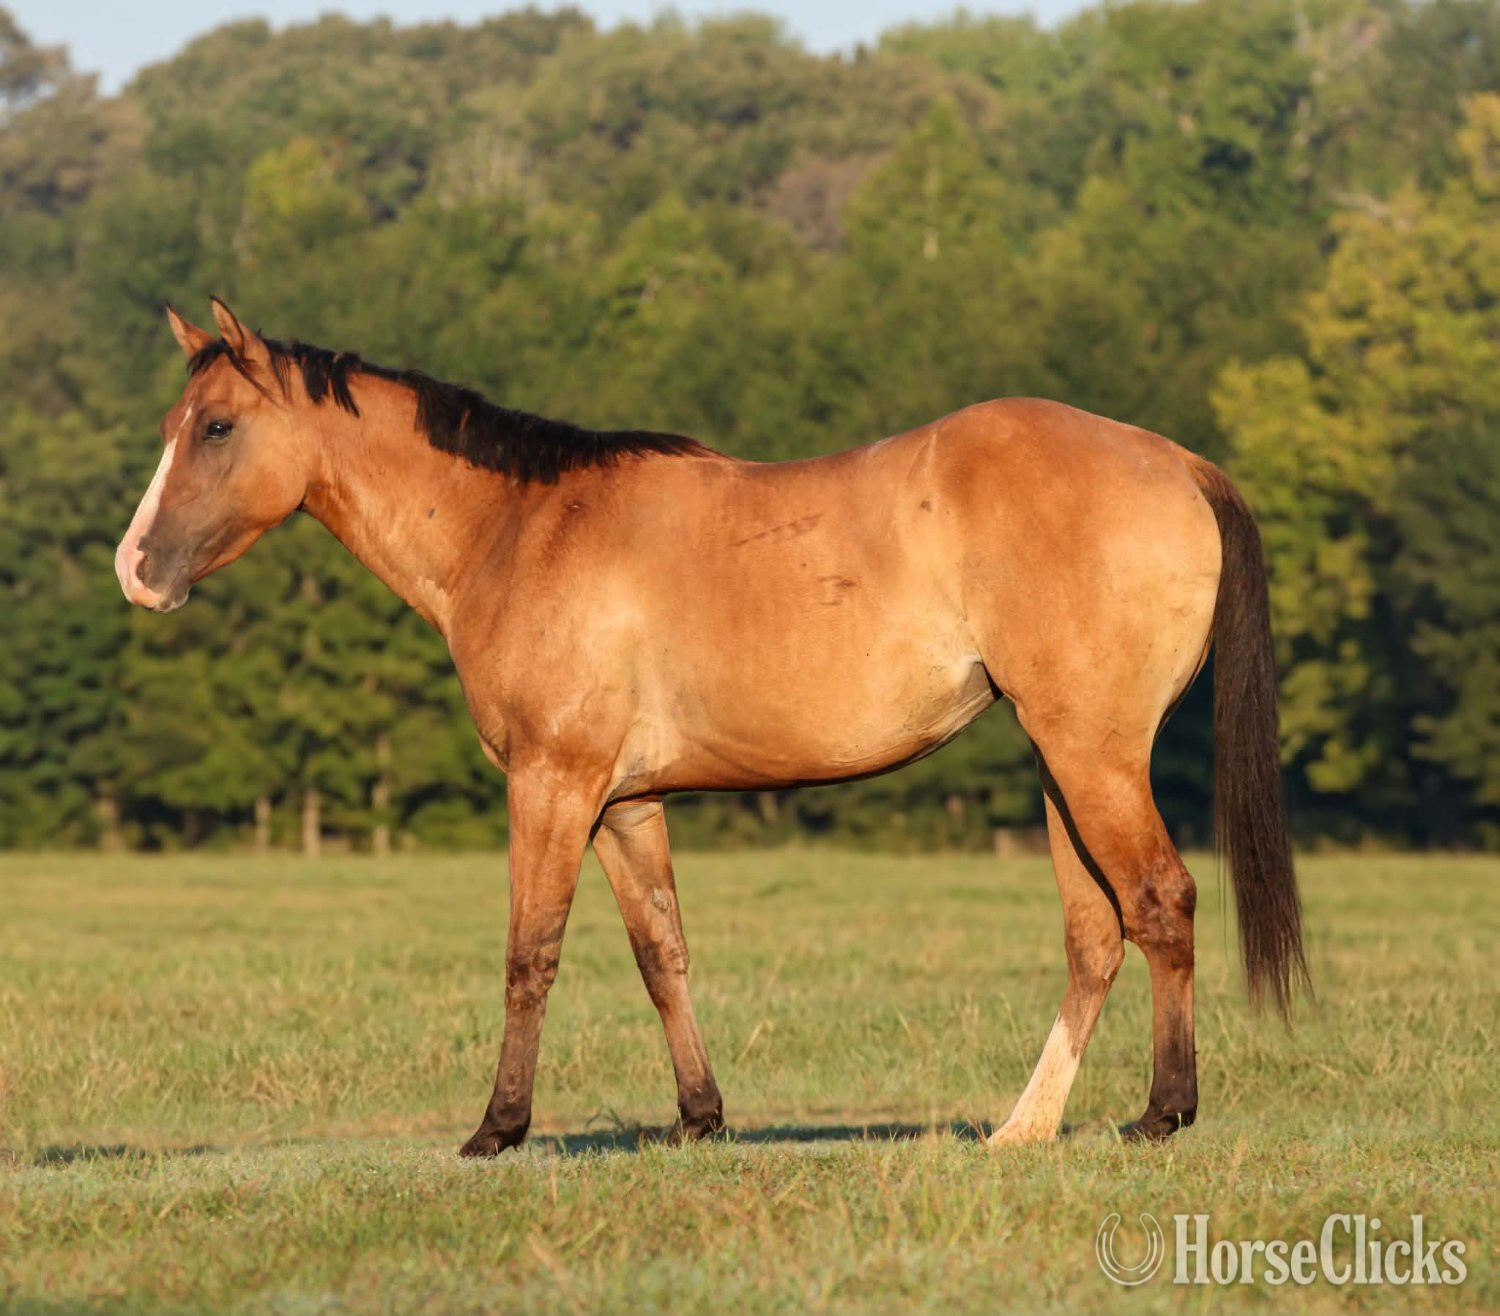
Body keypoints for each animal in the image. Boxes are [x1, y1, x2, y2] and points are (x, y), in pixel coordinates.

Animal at [116, 299, 1308, 1156]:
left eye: (216, 427)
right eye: (173, 425)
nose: (137, 568)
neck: (521, 529)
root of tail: (1175, 461)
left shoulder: (552, 784)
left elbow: (529, 954)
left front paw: (497, 1129)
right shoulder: (626, 804)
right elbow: (663, 954)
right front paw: (699, 1118)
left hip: (1093, 755)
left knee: (1160, 902)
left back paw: (1162, 1112)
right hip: (1062, 763)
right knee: (1095, 935)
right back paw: (1026, 1127)